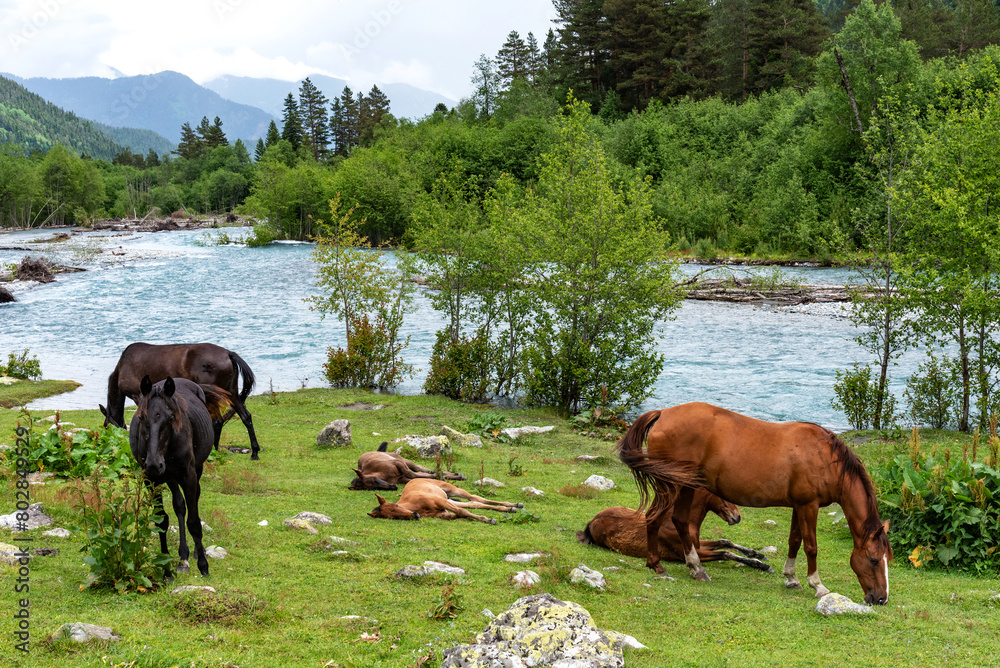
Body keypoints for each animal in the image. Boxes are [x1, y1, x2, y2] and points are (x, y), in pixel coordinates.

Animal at [102, 344, 262, 460]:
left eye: (107, 428)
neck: (122, 367)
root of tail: (228, 353)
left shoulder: (138, 395)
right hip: (231, 392)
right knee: (245, 417)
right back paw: (253, 452)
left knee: (217, 421)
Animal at [128, 378, 229, 576]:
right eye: (142, 418)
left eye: (170, 418)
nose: (154, 464)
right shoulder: (152, 480)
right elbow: (162, 520)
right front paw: (166, 568)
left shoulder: (188, 476)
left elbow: (194, 521)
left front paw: (204, 566)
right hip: (170, 477)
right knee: (179, 505)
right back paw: (183, 557)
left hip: (195, 469)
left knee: (193, 500)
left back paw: (196, 553)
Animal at [368, 478, 524, 524]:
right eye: (394, 516)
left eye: (396, 505)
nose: (414, 515)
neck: (417, 506)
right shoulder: (442, 512)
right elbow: (459, 514)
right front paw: (487, 518)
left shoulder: (440, 502)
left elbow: (462, 511)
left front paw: (488, 519)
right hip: (451, 499)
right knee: (474, 503)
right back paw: (511, 508)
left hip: (452, 491)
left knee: (476, 498)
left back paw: (515, 505)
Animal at [580, 488, 772, 572]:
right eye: (723, 496)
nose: (737, 517)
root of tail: (593, 520)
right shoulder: (688, 553)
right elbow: (725, 553)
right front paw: (761, 565)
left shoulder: (697, 544)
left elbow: (725, 541)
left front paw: (758, 554)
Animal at [616, 402, 892, 604]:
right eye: (874, 559)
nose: (881, 599)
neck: (825, 458)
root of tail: (663, 413)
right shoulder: (808, 506)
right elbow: (811, 547)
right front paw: (818, 585)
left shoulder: (798, 506)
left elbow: (794, 540)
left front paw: (791, 578)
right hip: (671, 486)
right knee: (654, 517)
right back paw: (658, 565)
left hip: (687, 487)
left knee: (681, 521)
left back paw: (695, 568)